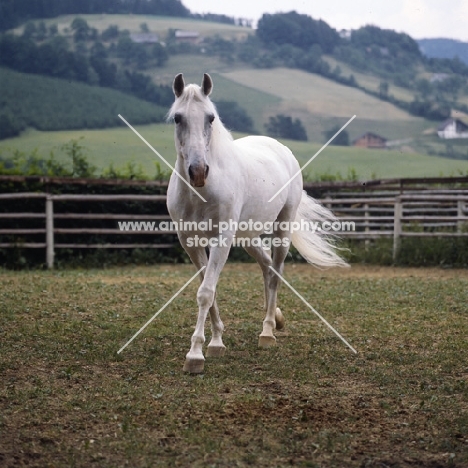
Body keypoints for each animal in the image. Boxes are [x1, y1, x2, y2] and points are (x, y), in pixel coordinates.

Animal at [166, 73, 346, 372]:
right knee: (266, 265)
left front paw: (195, 355)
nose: (198, 172)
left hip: (282, 229)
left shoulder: (222, 240)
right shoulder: (190, 243)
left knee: (276, 270)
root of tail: (281, 148)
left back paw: (268, 331)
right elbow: (209, 290)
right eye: (178, 118)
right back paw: (276, 318)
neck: (202, 191)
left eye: (210, 118)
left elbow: (206, 292)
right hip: (248, 237)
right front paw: (216, 342)